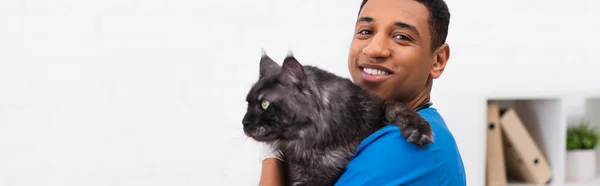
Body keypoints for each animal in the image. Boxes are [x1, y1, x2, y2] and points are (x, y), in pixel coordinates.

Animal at [241, 50, 434, 186]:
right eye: (248, 103)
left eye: (264, 104)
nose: (244, 122)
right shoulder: (301, 176)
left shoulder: (377, 106)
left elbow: (396, 106)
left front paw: (418, 130)